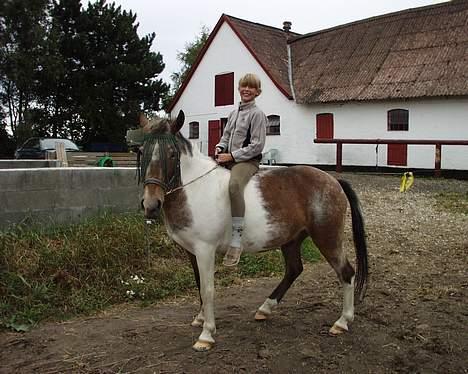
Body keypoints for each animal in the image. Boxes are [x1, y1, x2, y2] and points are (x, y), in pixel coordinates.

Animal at [141, 110, 368, 350]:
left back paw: (342, 322)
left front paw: (206, 334)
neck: (195, 189)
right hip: (291, 239)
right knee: (294, 270)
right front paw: (200, 318)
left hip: (327, 238)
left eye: (172, 154)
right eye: (141, 151)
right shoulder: (191, 252)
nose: (151, 205)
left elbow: (208, 289)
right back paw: (265, 309)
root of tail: (333, 180)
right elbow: (199, 284)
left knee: (346, 273)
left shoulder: (205, 250)